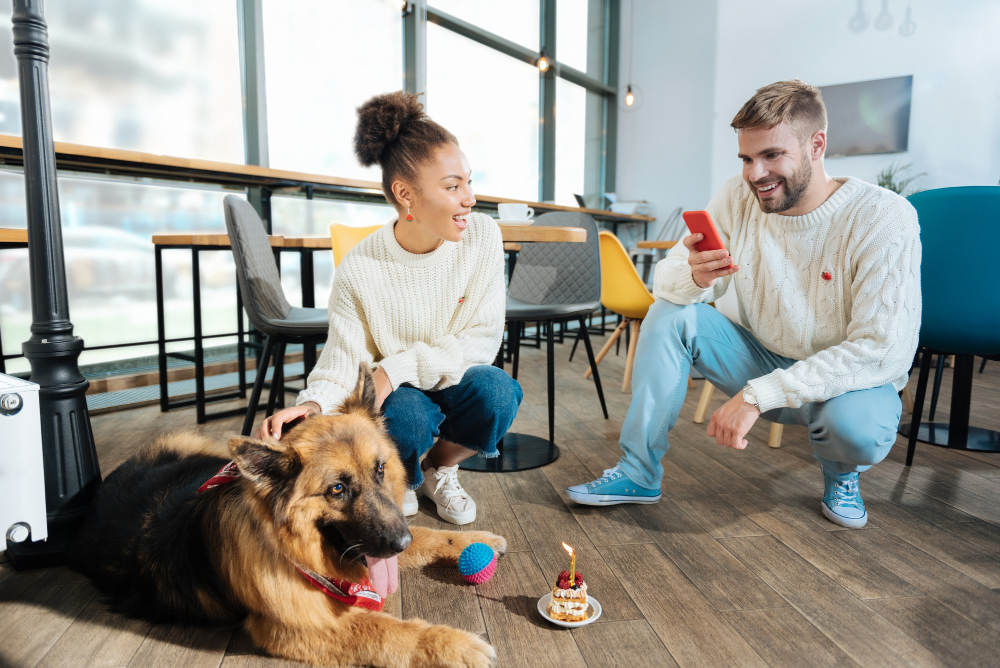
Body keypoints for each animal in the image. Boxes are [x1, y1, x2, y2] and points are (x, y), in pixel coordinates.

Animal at [70, 366, 504, 668]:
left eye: (380, 470)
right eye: (336, 489)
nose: (401, 544)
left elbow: (430, 535)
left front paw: (476, 541)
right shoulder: (301, 627)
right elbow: (385, 632)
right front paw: (452, 645)